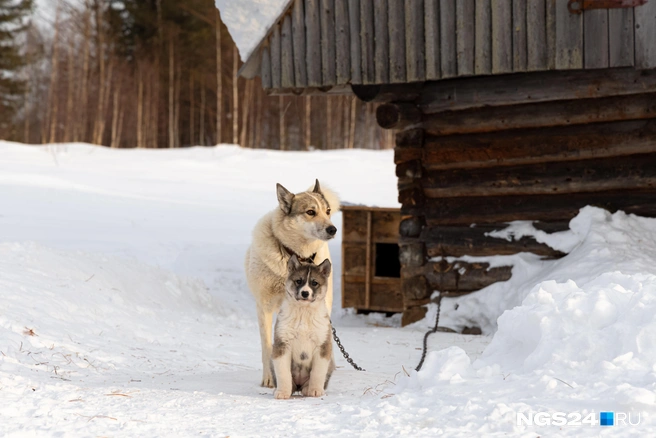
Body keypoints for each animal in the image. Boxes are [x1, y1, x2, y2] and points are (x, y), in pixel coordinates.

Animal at [270, 255, 336, 398]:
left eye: (314, 283)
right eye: (298, 281)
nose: (305, 293)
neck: (303, 312)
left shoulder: (322, 346)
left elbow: (317, 372)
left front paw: (315, 390)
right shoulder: (282, 344)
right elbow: (283, 373)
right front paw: (283, 392)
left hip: (331, 363)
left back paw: (306, 389)